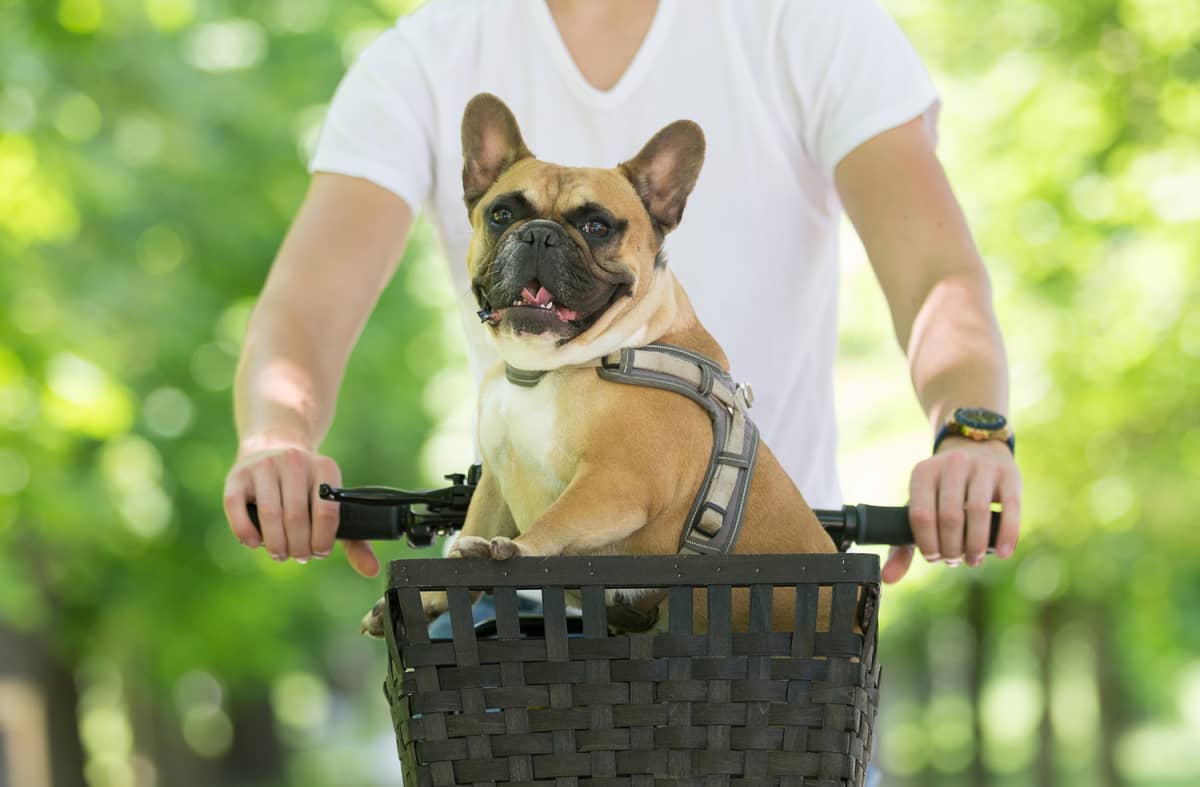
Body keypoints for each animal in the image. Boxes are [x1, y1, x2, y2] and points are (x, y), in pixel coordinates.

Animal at [364, 92, 835, 638]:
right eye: (502, 214)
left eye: (596, 226)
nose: (539, 235)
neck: (545, 371)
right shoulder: (495, 485)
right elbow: (471, 532)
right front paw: (434, 595)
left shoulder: (615, 481)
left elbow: (556, 520)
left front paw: (517, 550)